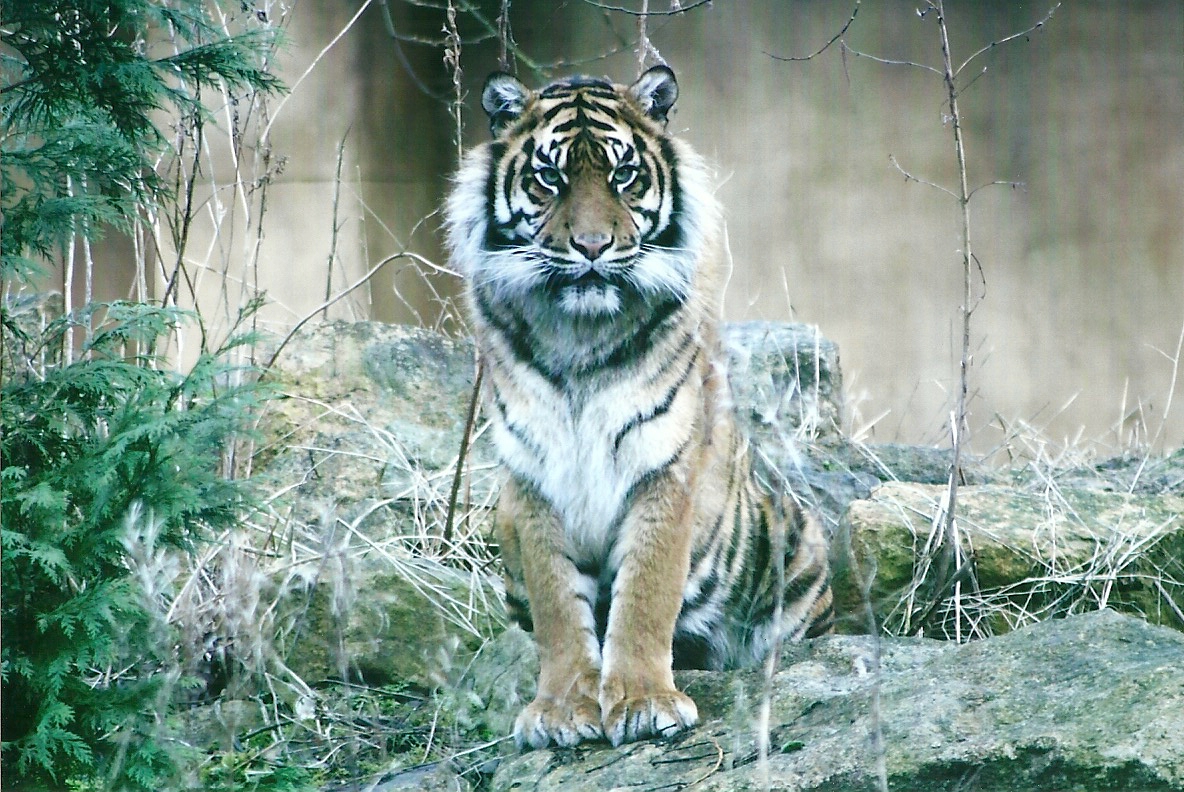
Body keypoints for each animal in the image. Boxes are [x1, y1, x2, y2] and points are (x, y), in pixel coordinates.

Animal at [444, 65, 833, 750]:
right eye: (550, 178)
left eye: (623, 175)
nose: (592, 246)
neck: (579, 335)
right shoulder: (534, 480)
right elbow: (557, 605)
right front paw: (563, 707)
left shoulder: (664, 470)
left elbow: (647, 593)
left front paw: (644, 702)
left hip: (798, 542)